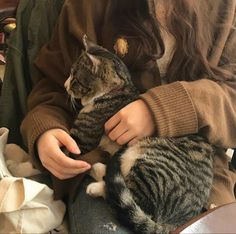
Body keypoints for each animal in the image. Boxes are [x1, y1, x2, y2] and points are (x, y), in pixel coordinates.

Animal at [64, 35, 214, 234]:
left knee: (133, 200)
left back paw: (95, 183)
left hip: (151, 166)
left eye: (75, 79)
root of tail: (181, 220)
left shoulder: (83, 136)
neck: (117, 90)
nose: (65, 85)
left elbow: (70, 144)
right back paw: (101, 168)